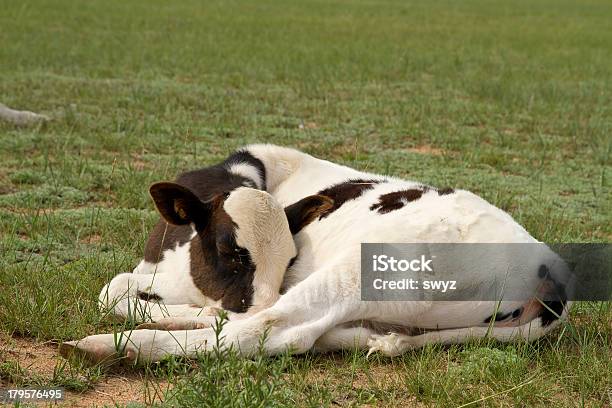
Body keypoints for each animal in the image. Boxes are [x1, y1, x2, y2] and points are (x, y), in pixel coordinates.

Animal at [59, 145, 572, 364]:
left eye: (289, 258)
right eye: (230, 250)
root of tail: (551, 268)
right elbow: (114, 290)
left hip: (370, 266)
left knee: (275, 332)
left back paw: (113, 346)